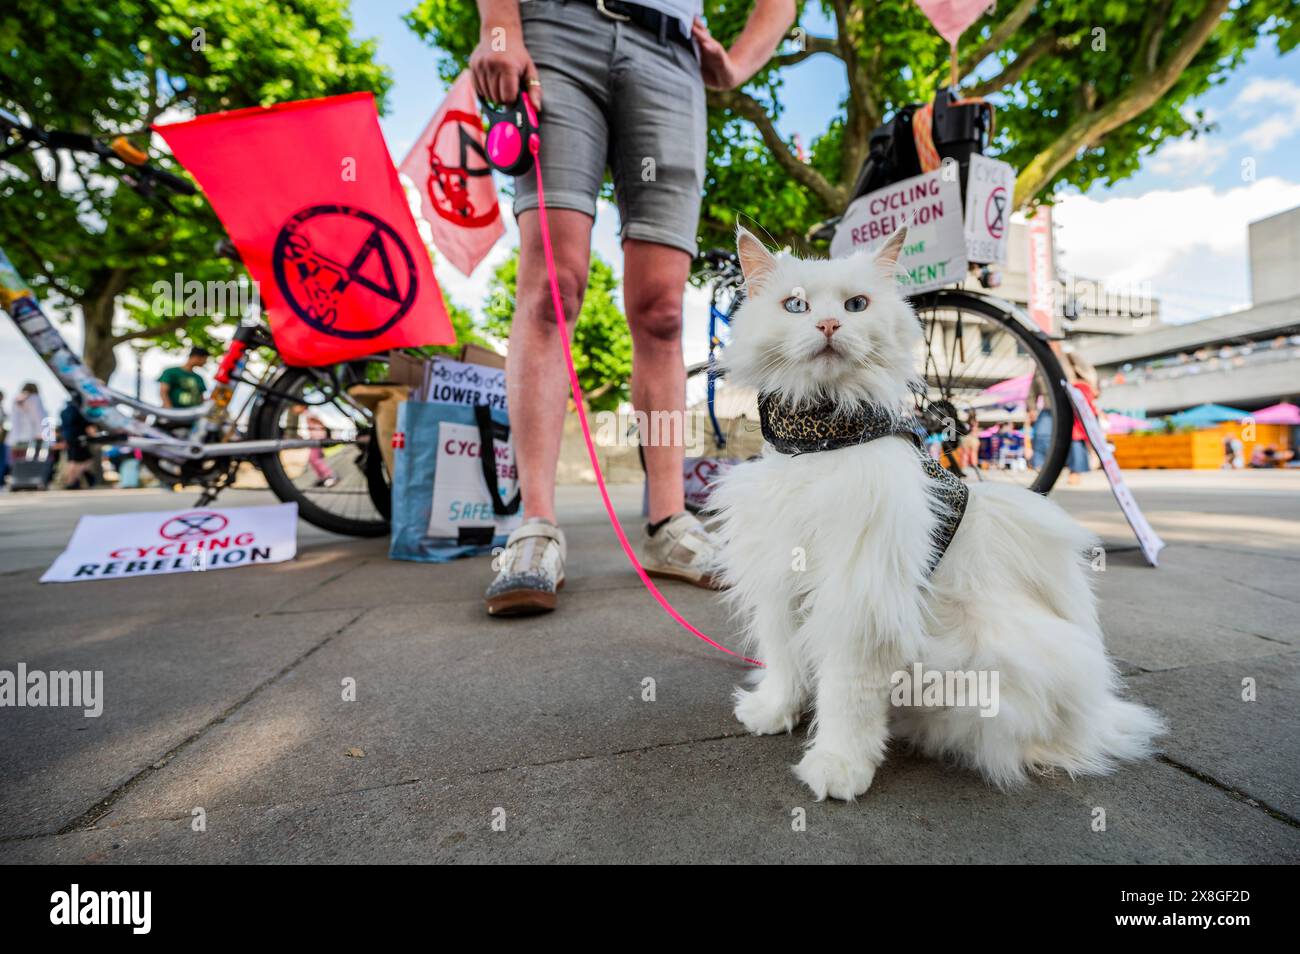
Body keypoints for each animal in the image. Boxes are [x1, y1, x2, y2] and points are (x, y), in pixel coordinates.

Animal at [717, 227, 1164, 805]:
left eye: (856, 305)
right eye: (795, 306)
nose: (829, 325)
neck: (819, 440)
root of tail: (1100, 716)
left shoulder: (860, 596)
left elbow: (847, 692)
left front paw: (839, 766)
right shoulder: (779, 572)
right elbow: (784, 656)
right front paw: (774, 712)